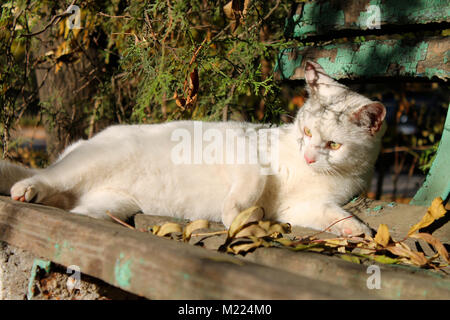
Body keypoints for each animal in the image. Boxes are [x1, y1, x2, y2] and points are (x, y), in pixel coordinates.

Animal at [0, 62, 386, 236]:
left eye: (333, 145)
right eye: (306, 131)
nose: (309, 156)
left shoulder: (302, 206)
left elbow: (332, 216)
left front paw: (358, 232)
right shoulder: (244, 153)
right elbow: (251, 186)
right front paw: (236, 217)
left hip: (107, 204)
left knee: (72, 204)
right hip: (88, 163)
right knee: (46, 177)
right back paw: (27, 189)